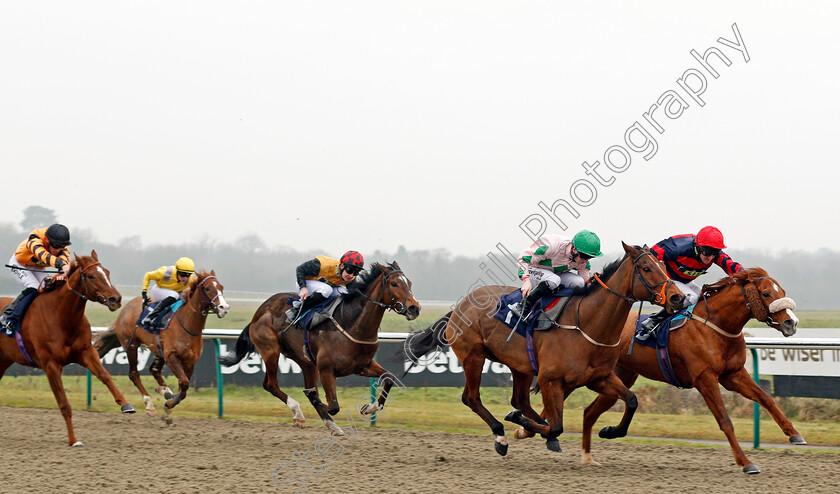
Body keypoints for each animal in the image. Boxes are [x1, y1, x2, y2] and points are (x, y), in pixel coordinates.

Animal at [0, 253, 134, 446]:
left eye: (107, 272)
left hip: (3, 360)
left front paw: (125, 404)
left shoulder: (86, 352)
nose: (115, 299)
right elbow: (64, 404)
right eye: (91, 276)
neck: (62, 317)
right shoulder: (51, 365)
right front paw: (73, 440)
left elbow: (105, 375)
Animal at [94, 272, 230, 414]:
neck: (187, 325)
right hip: (130, 344)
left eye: (221, 287)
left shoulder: (189, 361)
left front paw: (170, 400)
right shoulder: (171, 357)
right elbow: (184, 383)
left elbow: (184, 387)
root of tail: (125, 309)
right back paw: (149, 403)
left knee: (154, 370)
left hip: (158, 348)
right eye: (208, 288)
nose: (224, 308)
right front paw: (170, 403)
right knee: (134, 374)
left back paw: (165, 391)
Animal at [221, 260, 424, 434]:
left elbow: (389, 378)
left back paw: (328, 424)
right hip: (270, 349)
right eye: (394, 284)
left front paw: (369, 407)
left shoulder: (362, 366)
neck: (353, 324)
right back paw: (299, 413)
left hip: (306, 362)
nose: (414, 308)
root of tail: (259, 312)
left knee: (286, 384)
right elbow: (332, 405)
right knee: (271, 384)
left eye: (409, 283)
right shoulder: (327, 370)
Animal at [404, 243, 684, 456]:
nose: (677, 298)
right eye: (647, 268)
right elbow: (557, 425)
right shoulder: (550, 379)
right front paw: (521, 425)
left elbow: (632, 400)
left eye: (663, 267)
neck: (586, 324)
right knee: (472, 398)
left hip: (520, 365)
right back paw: (501, 435)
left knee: (519, 400)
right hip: (473, 356)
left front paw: (610, 430)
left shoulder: (599, 378)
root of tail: (461, 305)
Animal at [580, 268, 804, 472]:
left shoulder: (733, 375)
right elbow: (725, 420)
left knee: (590, 411)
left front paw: (794, 434)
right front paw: (746, 462)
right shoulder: (705, 379)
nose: (791, 323)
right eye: (766, 293)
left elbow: (765, 397)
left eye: (782, 291)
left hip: (620, 376)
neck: (716, 325)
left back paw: (597, 446)